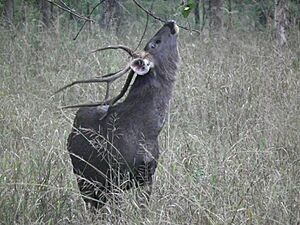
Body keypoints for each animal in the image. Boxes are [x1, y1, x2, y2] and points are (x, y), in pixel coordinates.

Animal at [57, 20, 180, 210]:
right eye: (155, 43)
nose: (170, 22)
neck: (147, 130)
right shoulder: (116, 175)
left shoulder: (148, 175)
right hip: (83, 177)